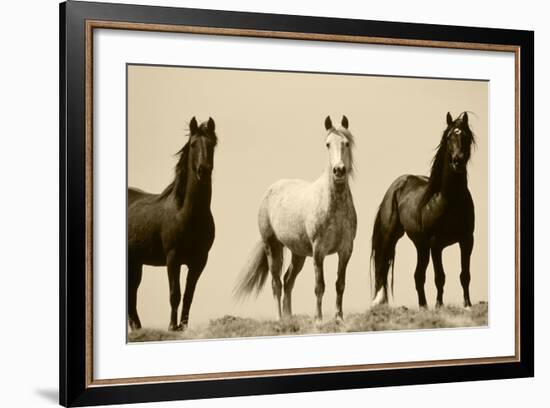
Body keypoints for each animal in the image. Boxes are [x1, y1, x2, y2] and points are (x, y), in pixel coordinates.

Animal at [128, 115, 218, 332]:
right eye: (193, 144)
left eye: (212, 144)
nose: (203, 170)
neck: (186, 213)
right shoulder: (173, 258)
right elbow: (174, 294)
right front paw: (171, 327)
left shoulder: (199, 261)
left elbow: (188, 296)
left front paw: (183, 327)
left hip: (135, 262)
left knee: (132, 294)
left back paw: (138, 329)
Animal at [236, 115, 358, 322]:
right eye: (327, 144)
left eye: (346, 143)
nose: (339, 170)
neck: (334, 206)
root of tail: (270, 190)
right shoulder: (318, 251)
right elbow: (319, 286)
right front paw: (318, 319)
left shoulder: (346, 250)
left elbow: (340, 284)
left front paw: (339, 318)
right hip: (272, 247)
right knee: (276, 283)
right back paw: (280, 319)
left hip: (298, 253)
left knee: (288, 281)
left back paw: (289, 317)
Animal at [374, 112, 476, 310]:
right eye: (449, 137)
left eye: (466, 136)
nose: (457, 161)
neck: (449, 199)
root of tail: (395, 187)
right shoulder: (436, 244)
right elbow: (440, 277)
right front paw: (439, 306)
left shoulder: (467, 240)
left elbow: (465, 275)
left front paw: (467, 304)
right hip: (392, 237)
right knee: (382, 268)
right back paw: (379, 303)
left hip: (421, 246)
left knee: (418, 276)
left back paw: (423, 306)